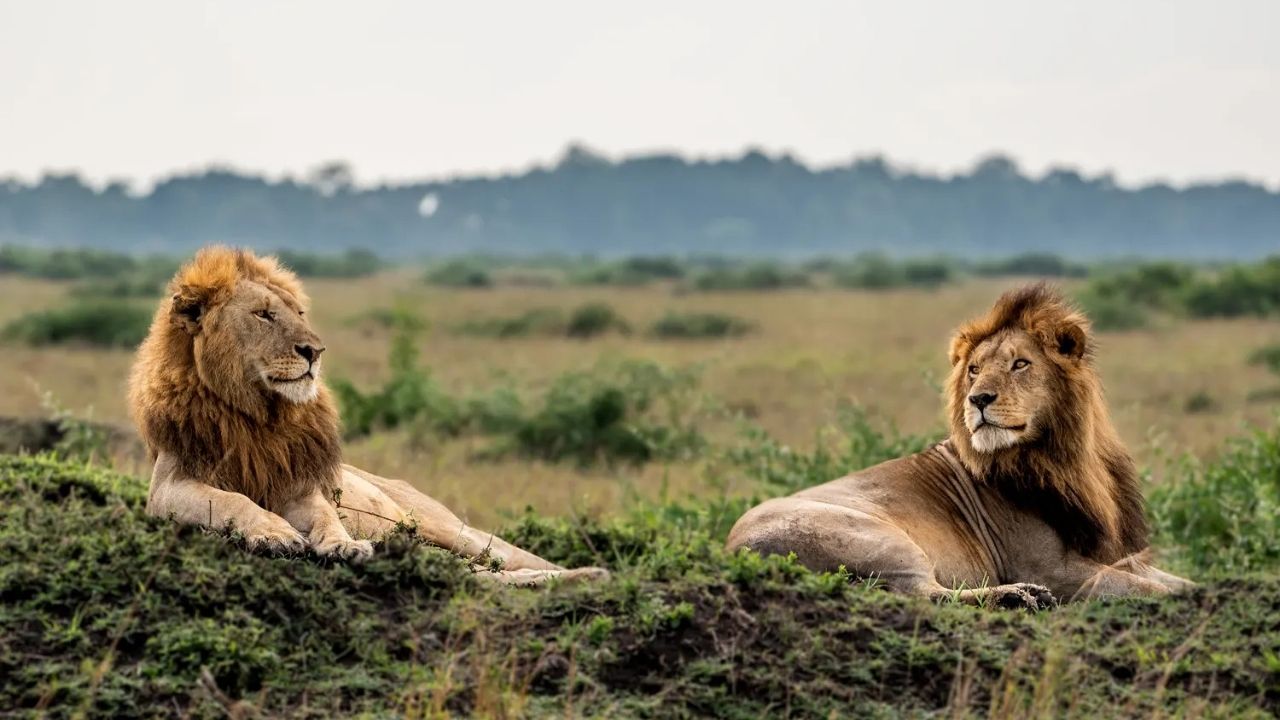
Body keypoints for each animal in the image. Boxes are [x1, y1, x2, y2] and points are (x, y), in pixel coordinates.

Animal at [128, 246, 607, 585]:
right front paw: (274, 533)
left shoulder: (298, 487)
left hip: (449, 528)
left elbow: (326, 514)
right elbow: (233, 499)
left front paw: (344, 545)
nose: (314, 351)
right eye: (263, 315)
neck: (256, 415)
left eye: (299, 313)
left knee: (506, 559)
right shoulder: (169, 486)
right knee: (490, 574)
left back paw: (592, 575)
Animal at [725, 284, 1192, 607]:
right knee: (925, 594)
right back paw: (1017, 596)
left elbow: (1176, 580)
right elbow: (1147, 588)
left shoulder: (1116, 554)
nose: (978, 399)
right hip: (879, 537)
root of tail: (734, 548)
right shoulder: (1053, 568)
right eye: (973, 370)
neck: (1068, 458)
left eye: (1020, 364)